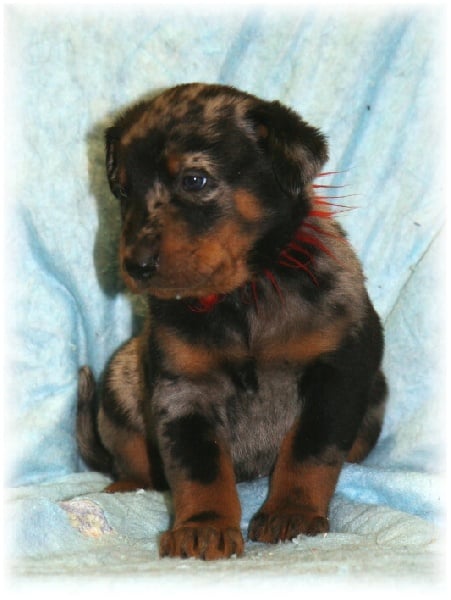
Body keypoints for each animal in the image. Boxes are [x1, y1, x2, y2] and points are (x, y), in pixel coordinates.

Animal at [77, 83, 387, 560]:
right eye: (124, 191)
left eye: (195, 180)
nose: (136, 266)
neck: (245, 297)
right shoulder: (183, 389)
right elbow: (199, 470)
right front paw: (202, 528)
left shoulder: (339, 371)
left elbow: (310, 451)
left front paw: (292, 514)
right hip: (122, 377)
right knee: (133, 459)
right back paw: (124, 486)